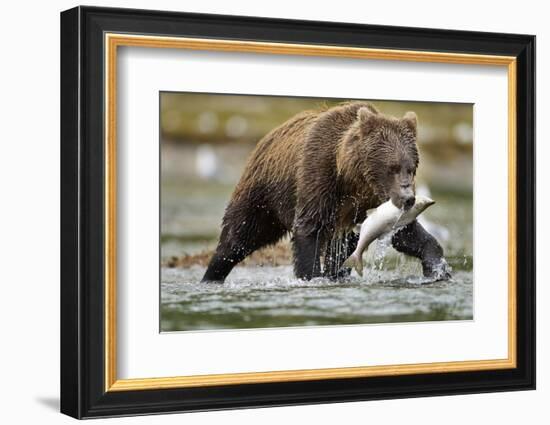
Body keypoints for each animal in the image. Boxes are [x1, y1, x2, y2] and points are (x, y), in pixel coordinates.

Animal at [203, 100, 448, 282]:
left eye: (411, 168)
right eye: (392, 168)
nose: (408, 198)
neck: (352, 179)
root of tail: (265, 139)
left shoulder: (371, 203)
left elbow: (405, 232)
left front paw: (438, 269)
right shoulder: (319, 176)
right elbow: (309, 229)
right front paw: (311, 276)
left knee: (343, 249)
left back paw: (338, 275)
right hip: (263, 195)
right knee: (238, 237)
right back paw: (212, 276)